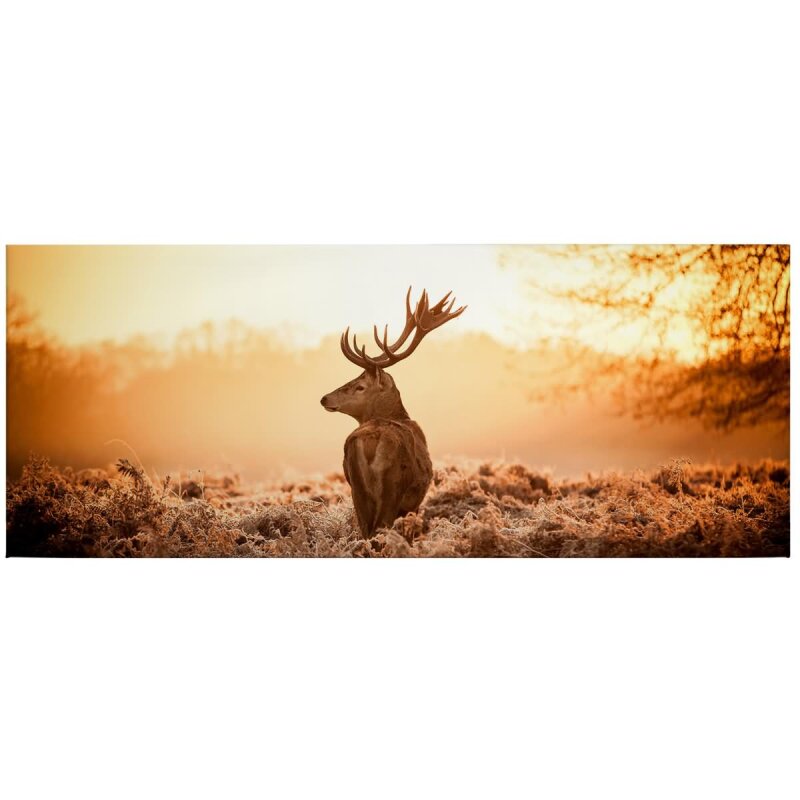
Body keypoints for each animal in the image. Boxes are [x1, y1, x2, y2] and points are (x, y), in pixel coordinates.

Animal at [320, 288, 466, 538]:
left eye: (360, 386)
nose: (324, 398)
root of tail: (370, 441)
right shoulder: (414, 502)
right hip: (392, 488)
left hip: (357, 490)